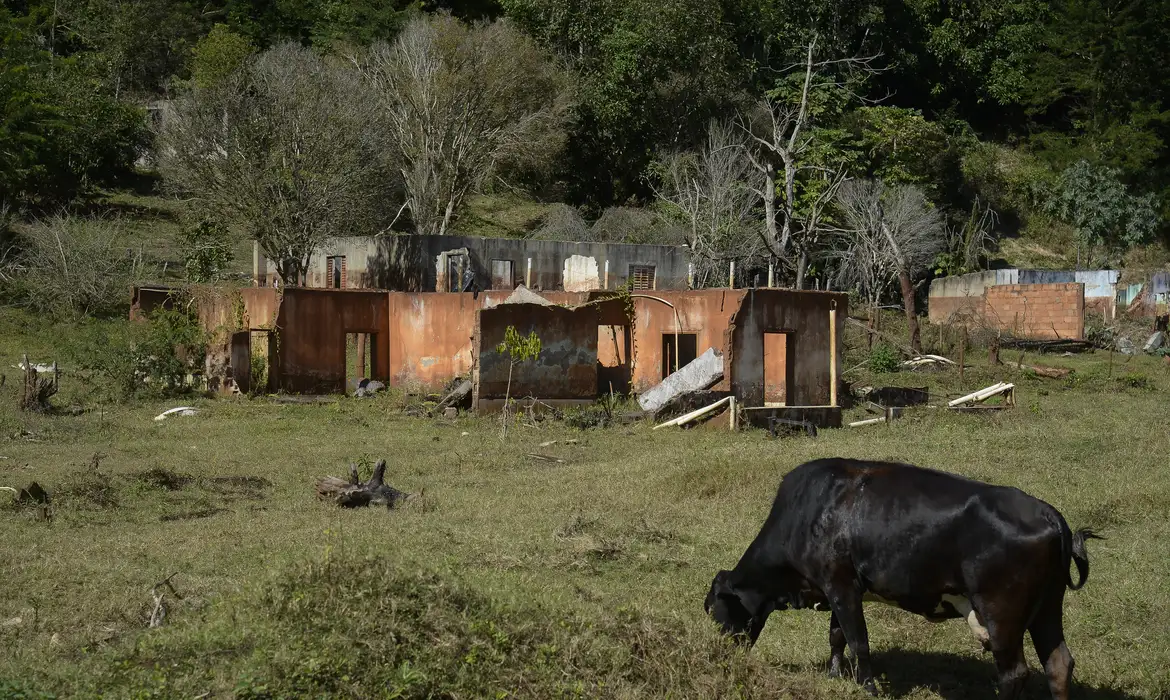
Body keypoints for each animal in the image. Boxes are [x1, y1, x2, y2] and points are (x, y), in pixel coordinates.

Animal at [706, 458, 1099, 697]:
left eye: (715, 612)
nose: (721, 656)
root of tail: (1050, 515)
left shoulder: (841, 587)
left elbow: (858, 641)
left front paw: (868, 687)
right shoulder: (838, 589)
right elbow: (837, 636)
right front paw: (835, 675)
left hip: (1002, 613)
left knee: (1014, 673)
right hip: (1047, 608)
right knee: (1058, 665)